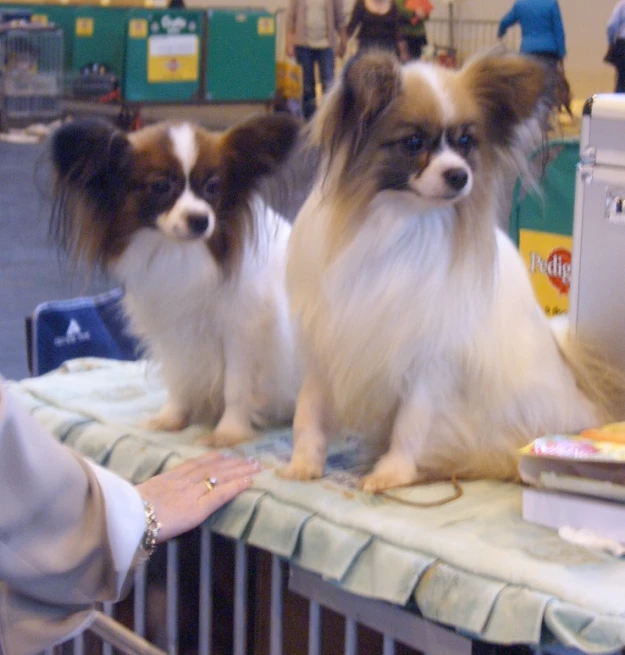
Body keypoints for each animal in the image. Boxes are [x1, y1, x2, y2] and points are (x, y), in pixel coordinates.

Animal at [50, 116, 304, 446]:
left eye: (212, 187)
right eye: (161, 186)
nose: (200, 220)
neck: (178, 253)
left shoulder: (242, 332)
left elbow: (236, 389)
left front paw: (228, 432)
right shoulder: (173, 332)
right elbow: (179, 378)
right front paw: (170, 419)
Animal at [280, 50, 624, 492]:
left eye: (465, 142)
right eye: (413, 143)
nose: (459, 175)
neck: (401, 225)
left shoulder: (429, 362)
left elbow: (411, 424)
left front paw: (392, 473)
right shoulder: (327, 341)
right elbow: (307, 411)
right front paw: (303, 463)